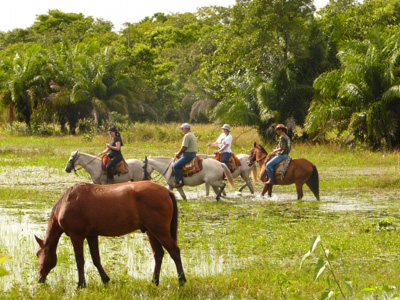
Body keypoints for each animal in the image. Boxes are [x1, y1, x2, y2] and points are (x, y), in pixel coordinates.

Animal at [35, 180, 185, 286]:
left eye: (37, 254)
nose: (39, 279)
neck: (67, 202)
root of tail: (167, 191)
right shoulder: (91, 235)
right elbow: (96, 259)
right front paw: (105, 279)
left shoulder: (76, 236)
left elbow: (80, 261)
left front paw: (81, 284)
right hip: (151, 232)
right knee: (158, 254)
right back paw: (154, 281)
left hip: (160, 231)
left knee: (175, 252)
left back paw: (181, 281)